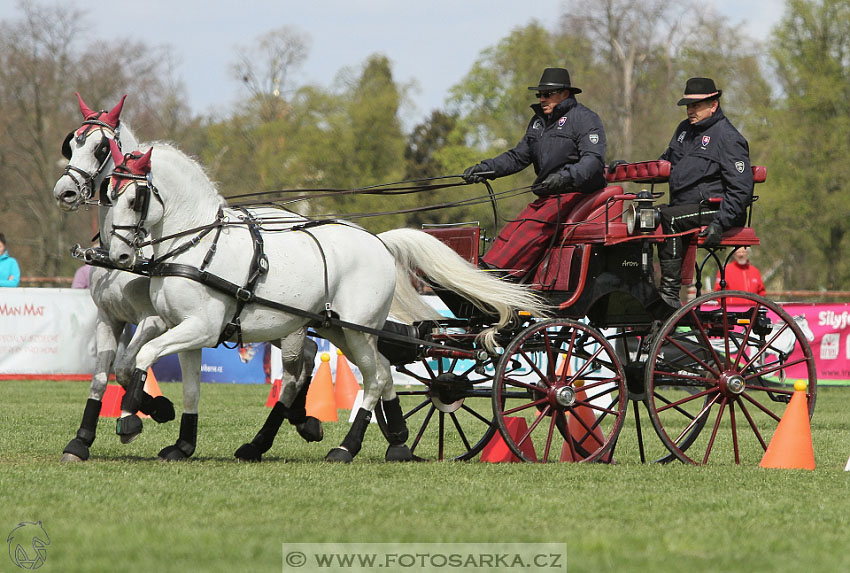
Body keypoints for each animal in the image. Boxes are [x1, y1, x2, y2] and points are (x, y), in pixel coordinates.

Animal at [52, 92, 322, 460]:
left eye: (100, 147)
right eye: (71, 143)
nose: (64, 192)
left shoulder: (155, 320)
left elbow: (126, 366)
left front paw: (154, 410)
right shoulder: (108, 317)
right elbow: (101, 377)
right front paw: (81, 440)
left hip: (284, 324)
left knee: (299, 364)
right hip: (271, 324)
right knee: (310, 350)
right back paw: (301, 419)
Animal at [102, 141, 548, 462]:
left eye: (135, 198)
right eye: (110, 193)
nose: (120, 256)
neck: (196, 245)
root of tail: (378, 242)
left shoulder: (201, 327)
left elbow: (142, 359)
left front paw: (132, 419)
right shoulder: (188, 331)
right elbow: (187, 387)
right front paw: (178, 439)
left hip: (356, 329)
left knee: (374, 379)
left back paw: (346, 448)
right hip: (341, 330)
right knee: (381, 373)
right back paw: (398, 442)